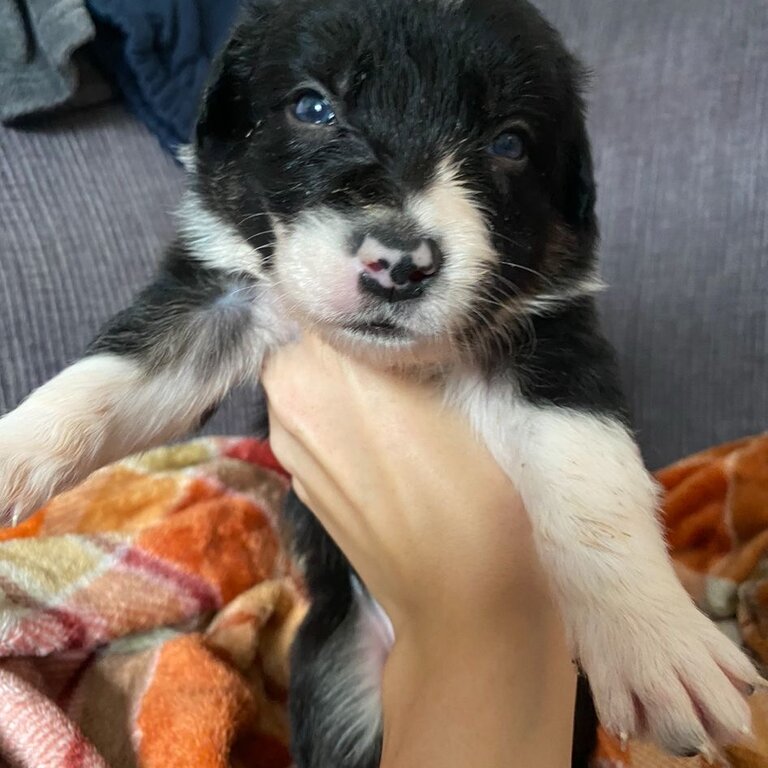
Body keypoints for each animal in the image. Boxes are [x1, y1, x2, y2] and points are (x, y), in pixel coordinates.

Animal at [0, 0, 760, 764]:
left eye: (509, 143)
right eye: (313, 106)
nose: (399, 264)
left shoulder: (554, 338)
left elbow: (590, 473)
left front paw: (654, 638)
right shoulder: (219, 296)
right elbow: (107, 377)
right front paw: (12, 454)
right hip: (341, 677)